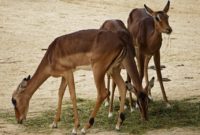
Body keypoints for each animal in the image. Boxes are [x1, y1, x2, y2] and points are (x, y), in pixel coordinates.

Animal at [12, 29, 150, 134]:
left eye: (14, 100)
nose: (19, 120)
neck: (51, 55)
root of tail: (121, 42)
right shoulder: (65, 75)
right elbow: (60, 93)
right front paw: (54, 123)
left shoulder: (68, 73)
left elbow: (72, 95)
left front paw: (75, 127)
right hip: (114, 69)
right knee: (122, 86)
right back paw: (118, 124)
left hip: (98, 71)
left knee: (103, 93)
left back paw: (85, 127)